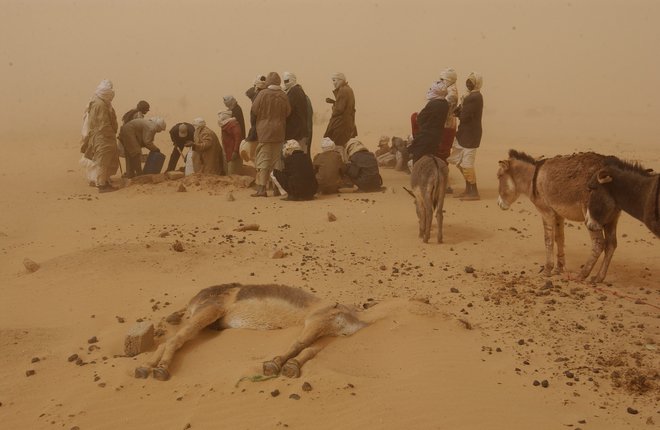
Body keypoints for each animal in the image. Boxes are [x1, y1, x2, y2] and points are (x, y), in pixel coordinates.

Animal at [135, 284, 366, 382]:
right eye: (337, 310)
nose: (359, 326)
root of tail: (195, 298)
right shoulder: (317, 321)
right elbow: (298, 344)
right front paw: (274, 365)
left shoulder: (326, 333)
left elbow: (310, 349)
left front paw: (290, 367)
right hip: (209, 311)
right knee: (175, 340)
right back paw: (160, 370)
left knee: (167, 341)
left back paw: (145, 368)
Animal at [500, 149, 620, 284]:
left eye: (499, 176)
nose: (499, 204)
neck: (533, 178)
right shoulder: (558, 215)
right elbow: (559, 238)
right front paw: (559, 268)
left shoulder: (546, 212)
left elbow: (548, 240)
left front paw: (547, 269)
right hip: (612, 218)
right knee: (611, 245)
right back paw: (599, 277)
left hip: (592, 218)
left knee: (598, 243)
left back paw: (582, 275)